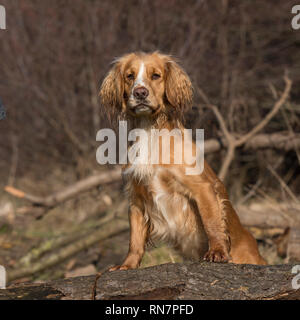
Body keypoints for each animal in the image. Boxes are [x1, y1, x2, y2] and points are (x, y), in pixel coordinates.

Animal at [99, 51, 266, 268]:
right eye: (130, 76)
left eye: (156, 75)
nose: (140, 92)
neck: (149, 130)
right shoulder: (136, 198)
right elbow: (134, 239)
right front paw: (127, 265)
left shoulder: (202, 188)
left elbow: (212, 222)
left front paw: (217, 252)